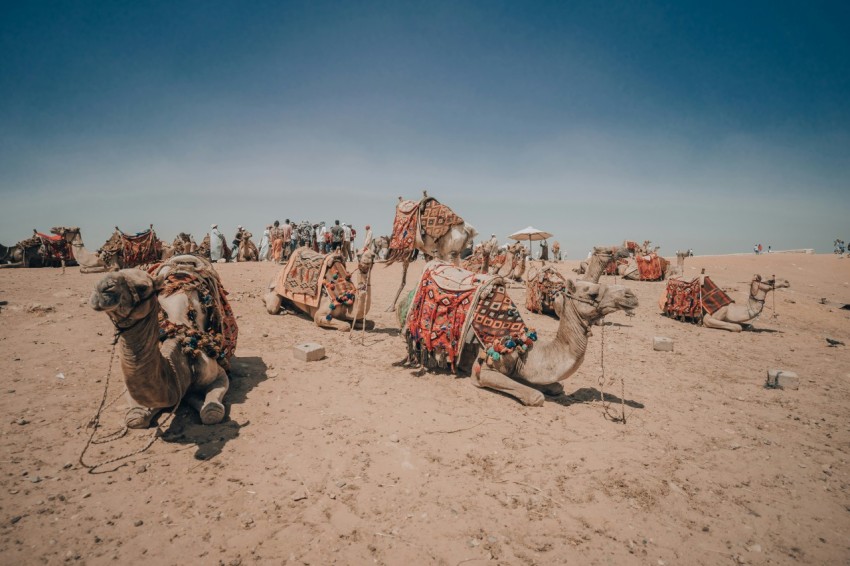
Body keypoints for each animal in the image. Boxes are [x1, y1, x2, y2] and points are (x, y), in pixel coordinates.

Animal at [90, 255, 237, 428]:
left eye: (142, 287)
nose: (102, 288)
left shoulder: (217, 373)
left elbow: (212, 412)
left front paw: (196, 400)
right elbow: (136, 417)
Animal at [398, 262, 636, 408]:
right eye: (593, 293)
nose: (630, 295)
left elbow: (555, 386)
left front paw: (551, 387)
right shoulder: (484, 369)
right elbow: (536, 396)